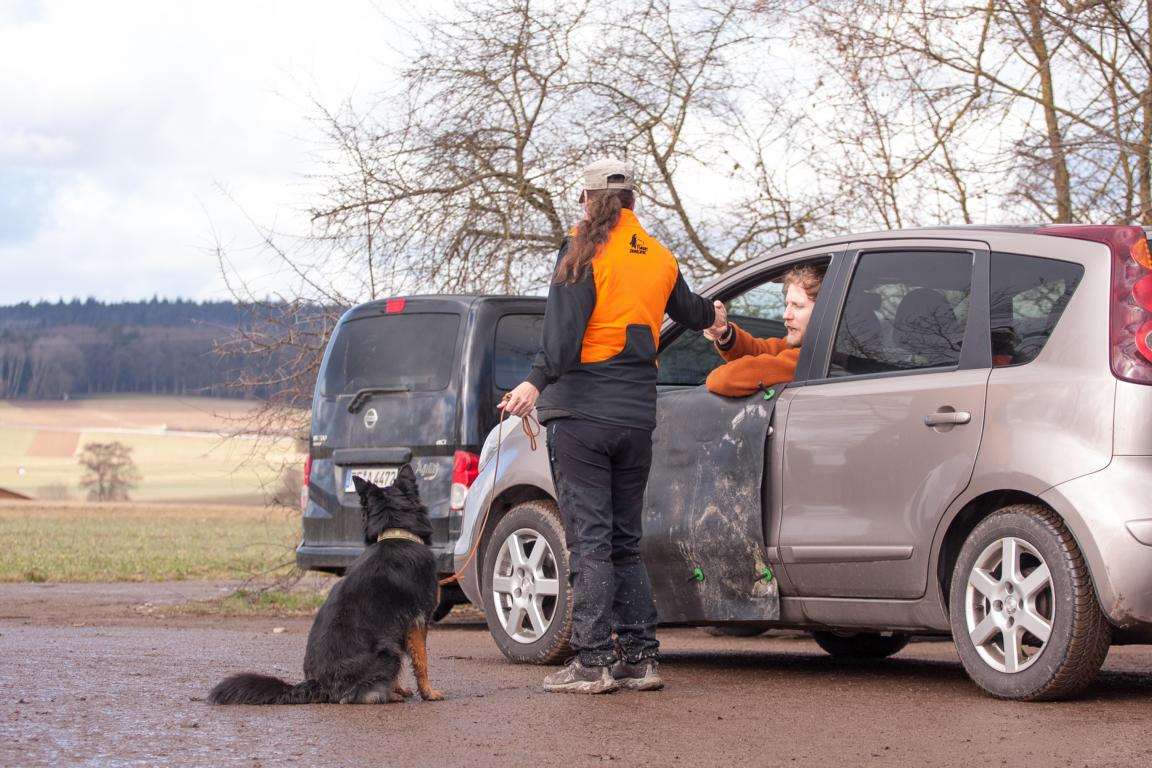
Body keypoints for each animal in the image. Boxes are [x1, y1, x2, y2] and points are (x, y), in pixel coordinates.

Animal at [208, 464, 443, 704]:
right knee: (355, 695)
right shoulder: (417, 623)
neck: (396, 533)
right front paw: (428, 693)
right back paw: (386, 696)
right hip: (389, 651)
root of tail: (317, 683)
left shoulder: (398, 629)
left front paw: (399, 689)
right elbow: (422, 661)